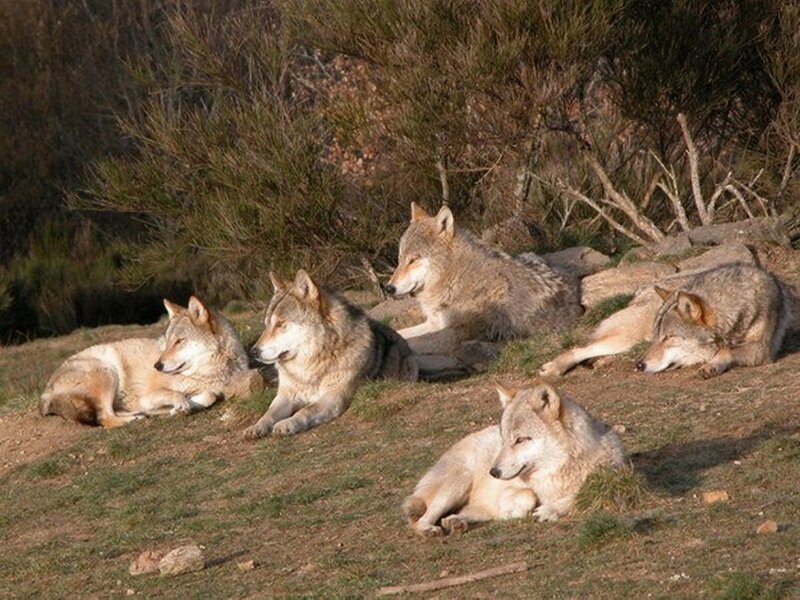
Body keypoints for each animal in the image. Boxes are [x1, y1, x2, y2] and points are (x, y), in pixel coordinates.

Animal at [39, 296, 264, 427]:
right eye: (168, 341)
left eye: (179, 341)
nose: (158, 365)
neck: (207, 372)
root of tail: (45, 392)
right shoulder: (149, 395)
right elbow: (177, 395)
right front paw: (180, 405)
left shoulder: (211, 389)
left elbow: (210, 396)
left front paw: (181, 408)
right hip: (107, 372)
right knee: (104, 418)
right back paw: (134, 418)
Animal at [243, 269, 418, 438]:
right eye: (267, 324)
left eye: (280, 324)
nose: (253, 352)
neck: (309, 368)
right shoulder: (286, 396)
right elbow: (268, 413)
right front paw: (256, 427)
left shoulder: (334, 396)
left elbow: (306, 410)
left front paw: (287, 423)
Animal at [385, 203, 582, 355]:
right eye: (400, 259)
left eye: (413, 259)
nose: (389, 288)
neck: (455, 278)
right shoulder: (434, 323)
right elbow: (401, 333)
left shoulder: (456, 333)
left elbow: (412, 342)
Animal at [403, 381, 624, 536]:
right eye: (504, 440)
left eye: (520, 440)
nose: (493, 472)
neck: (557, 472)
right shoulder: (509, 490)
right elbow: (529, 495)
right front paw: (515, 512)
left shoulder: (609, 483)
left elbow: (574, 498)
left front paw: (548, 510)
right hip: (459, 482)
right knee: (422, 520)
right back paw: (430, 529)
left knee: (455, 514)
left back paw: (456, 523)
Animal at [540, 263, 791, 378]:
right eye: (658, 338)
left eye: (668, 338)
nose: (639, 366)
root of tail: (641, 290)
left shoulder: (762, 349)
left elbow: (726, 350)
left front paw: (711, 363)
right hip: (626, 339)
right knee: (580, 347)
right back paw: (553, 368)